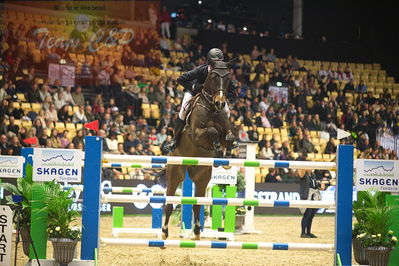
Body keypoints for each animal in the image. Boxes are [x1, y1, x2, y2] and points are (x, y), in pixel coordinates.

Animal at [162, 59, 238, 240]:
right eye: (213, 76)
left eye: (228, 78)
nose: (220, 103)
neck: (212, 109)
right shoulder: (196, 134)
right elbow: (212, 131)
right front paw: (217, 149)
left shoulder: (226, 132)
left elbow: (229, 137)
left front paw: (225, 156)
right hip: (175, 173)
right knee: (169, 202)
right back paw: (164, 232)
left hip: (202, 176)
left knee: (197, 204)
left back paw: (196, 232)